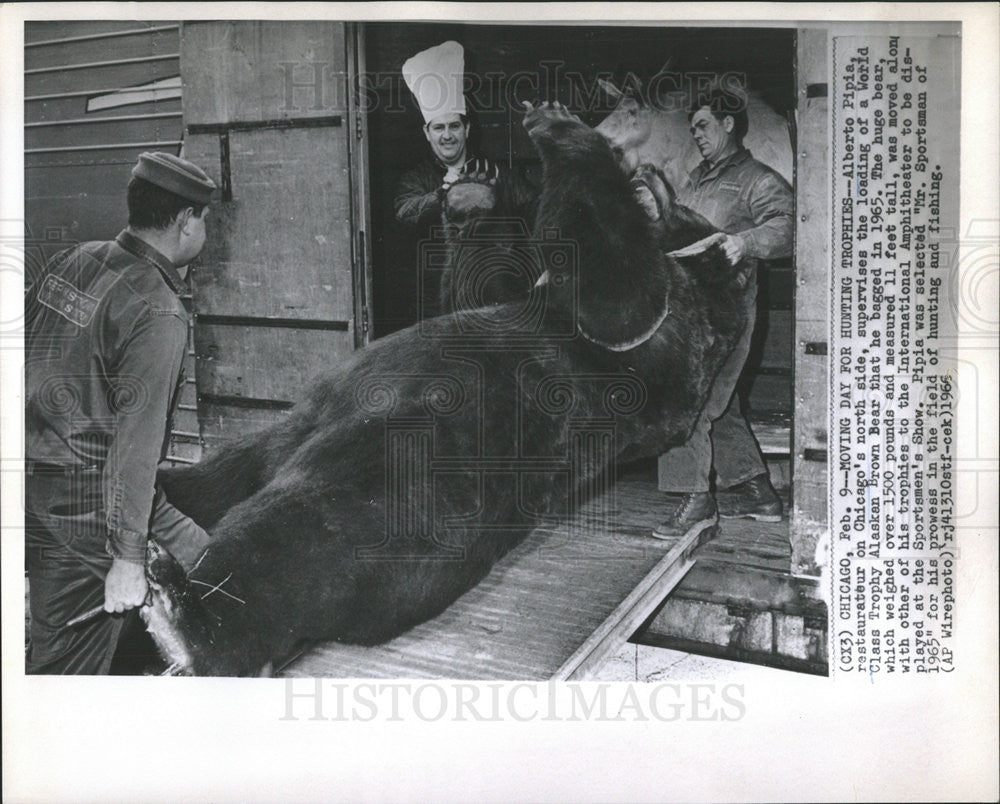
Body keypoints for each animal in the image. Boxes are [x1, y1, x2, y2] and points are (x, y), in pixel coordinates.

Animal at [145, 102, 748, 680]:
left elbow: (616, 290)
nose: (656, 175)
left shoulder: (650, 341)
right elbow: (488, 279)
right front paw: (477, 191)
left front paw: (557, 125)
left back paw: (185, 620)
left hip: (400, 494)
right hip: (292, 429)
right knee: (215, 478)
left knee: (304, 541)